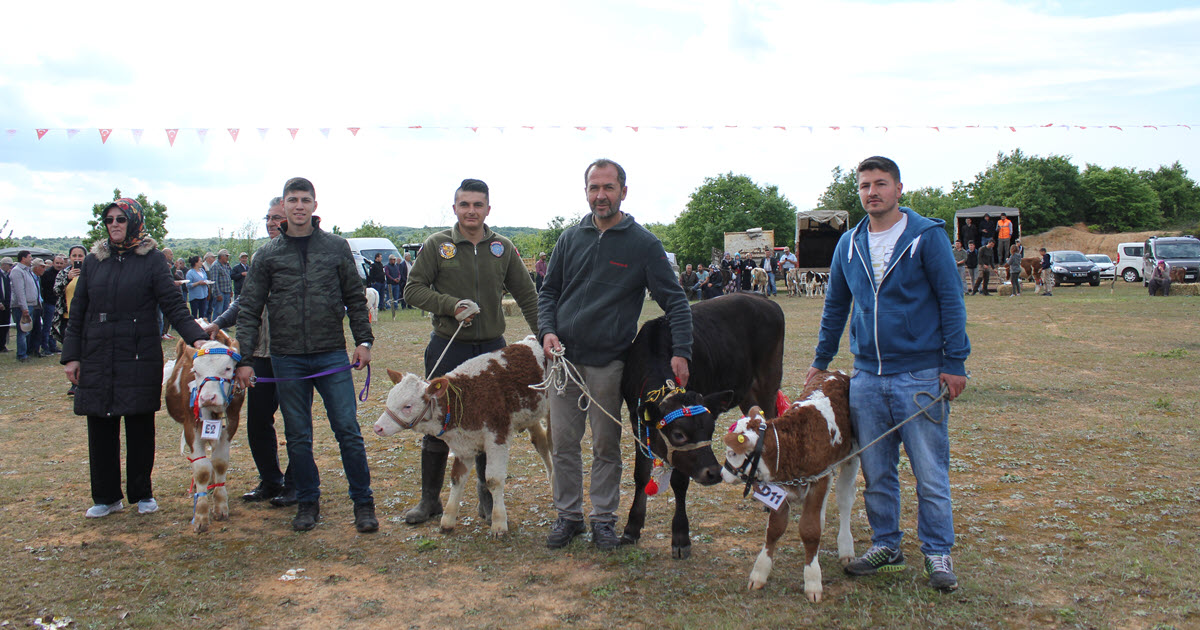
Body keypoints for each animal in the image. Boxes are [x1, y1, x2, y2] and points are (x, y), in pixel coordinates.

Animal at [163, 331, 244, 532]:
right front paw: (200, 516)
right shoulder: (191, 425)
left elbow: (220, 462)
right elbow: (201, 469)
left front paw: (220, 505)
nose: (208, 398)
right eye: (195, 372)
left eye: (228, 368)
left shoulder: (232, 422)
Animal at [369, 333, 552, 535]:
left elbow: (493, 480)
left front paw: (498, 522)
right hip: (532, 413)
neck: (465, 397)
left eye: (407, 406)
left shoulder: (497, 437)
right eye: (390, 398)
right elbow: (457, 478)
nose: (378, 427)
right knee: (541, 442)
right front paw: (448, 520)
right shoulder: (464, 445)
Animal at [715, 372, 859, 602]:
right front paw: (760, 572)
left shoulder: (819, 480)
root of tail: (835, 373)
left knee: (845, 500)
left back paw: (846, 547)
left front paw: (812, 580)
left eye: (733, 453)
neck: (795, 443)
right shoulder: (781, 487)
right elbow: (775, 529)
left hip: (851, 458)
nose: (722, 474)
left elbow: (809, 530)